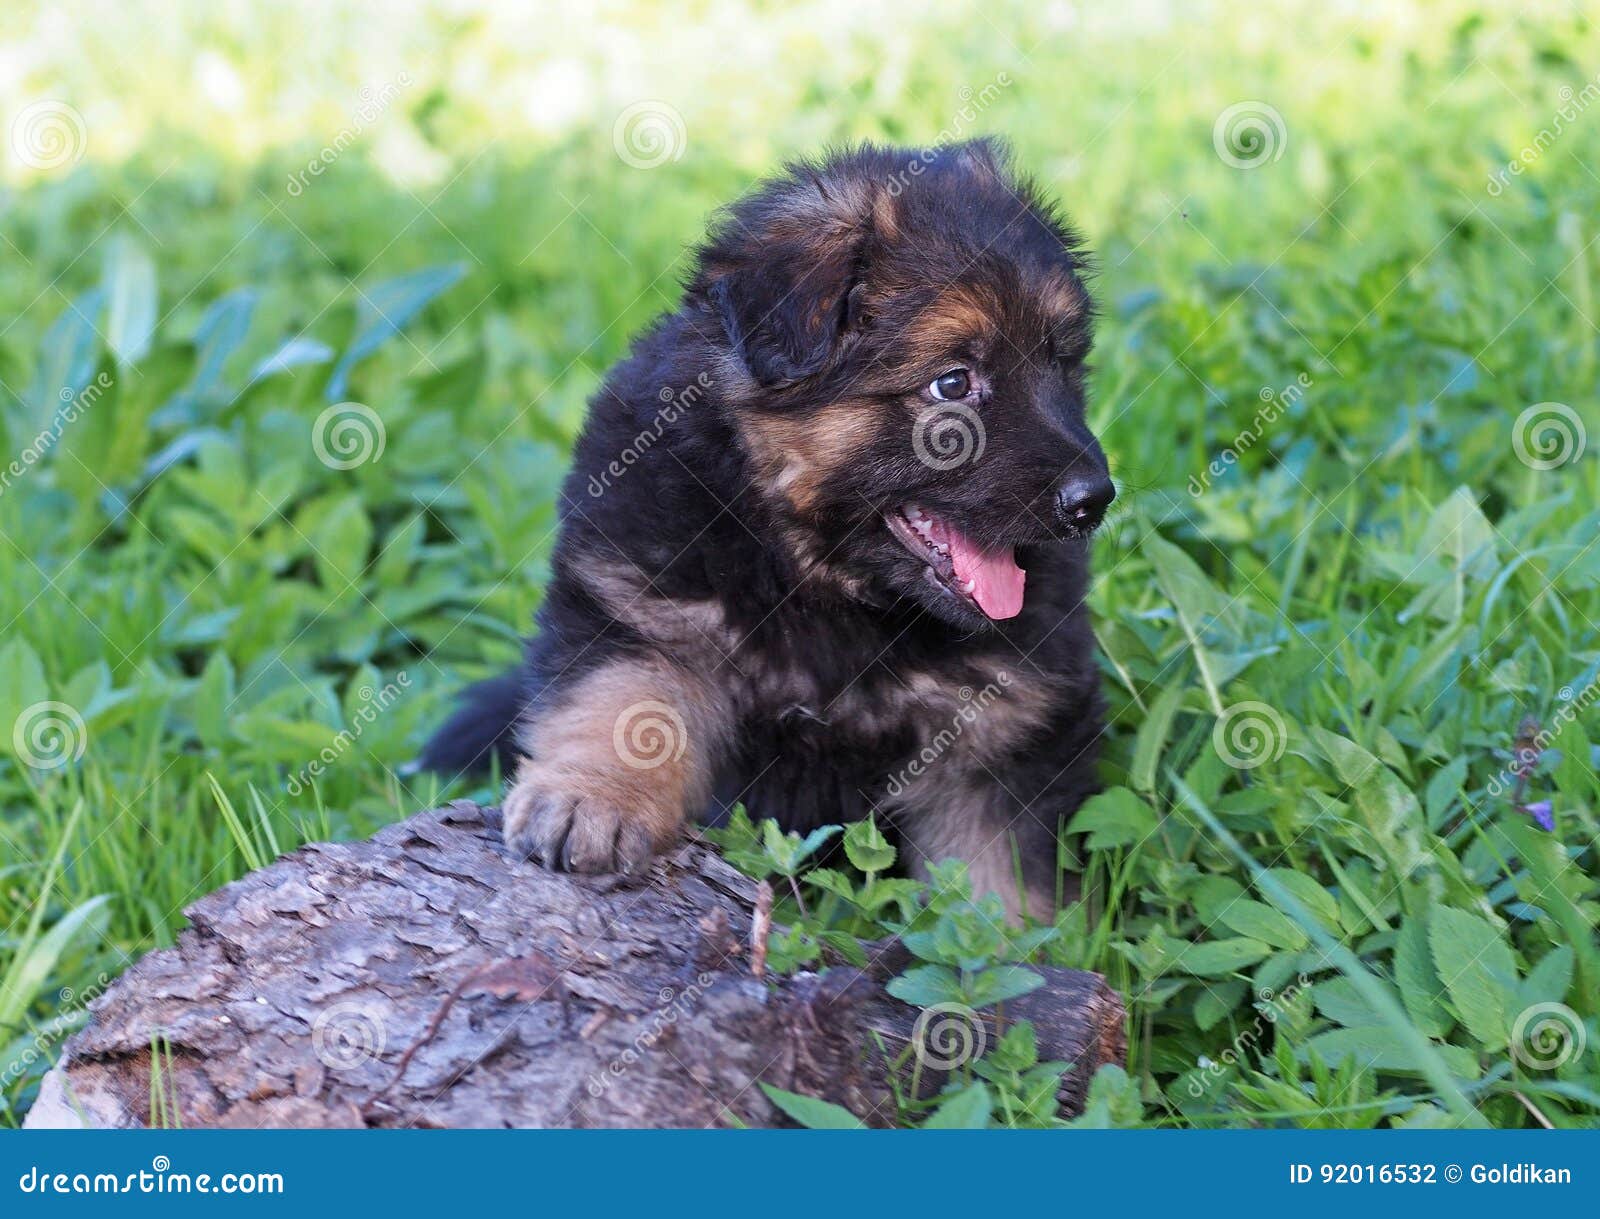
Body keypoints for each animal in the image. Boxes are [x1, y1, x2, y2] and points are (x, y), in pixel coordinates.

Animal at [422, 137, 1113, 915]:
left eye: (1063, 363)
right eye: (953, 383)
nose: (1093, 500)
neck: (824, 584)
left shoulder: (998, 724)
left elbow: (1000, 874)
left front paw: (1012, 942)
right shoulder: (643, 598)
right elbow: (623, 700)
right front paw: (589, 799)